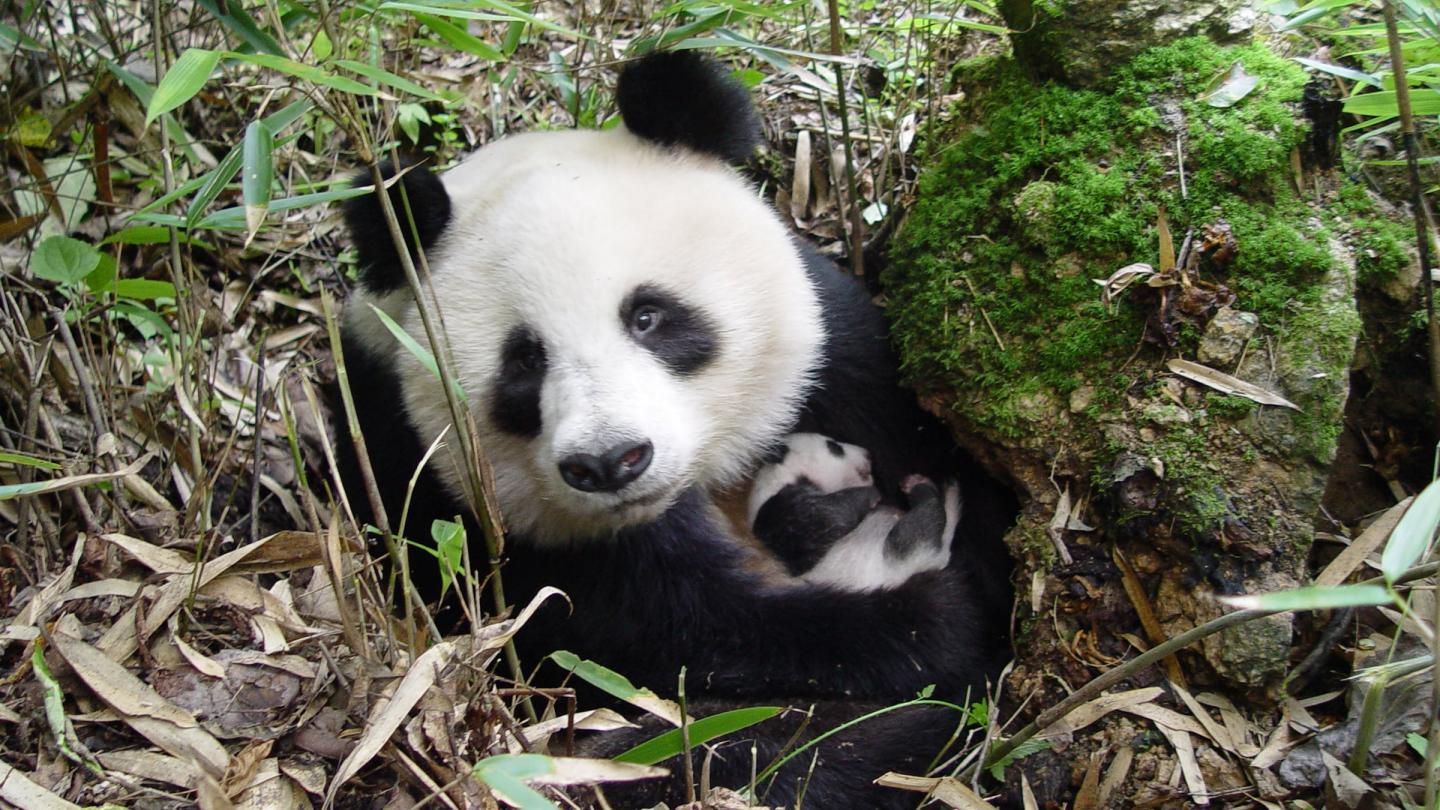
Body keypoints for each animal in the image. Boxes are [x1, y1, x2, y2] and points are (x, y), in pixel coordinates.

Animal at [748, 432, 961, 591]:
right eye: (834, 446)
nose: (868, 454)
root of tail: (938, 558)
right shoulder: (775, 512)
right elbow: (820, 518)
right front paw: (870, 495)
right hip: (898, 558)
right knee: (915, 529)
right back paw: (920, 490)